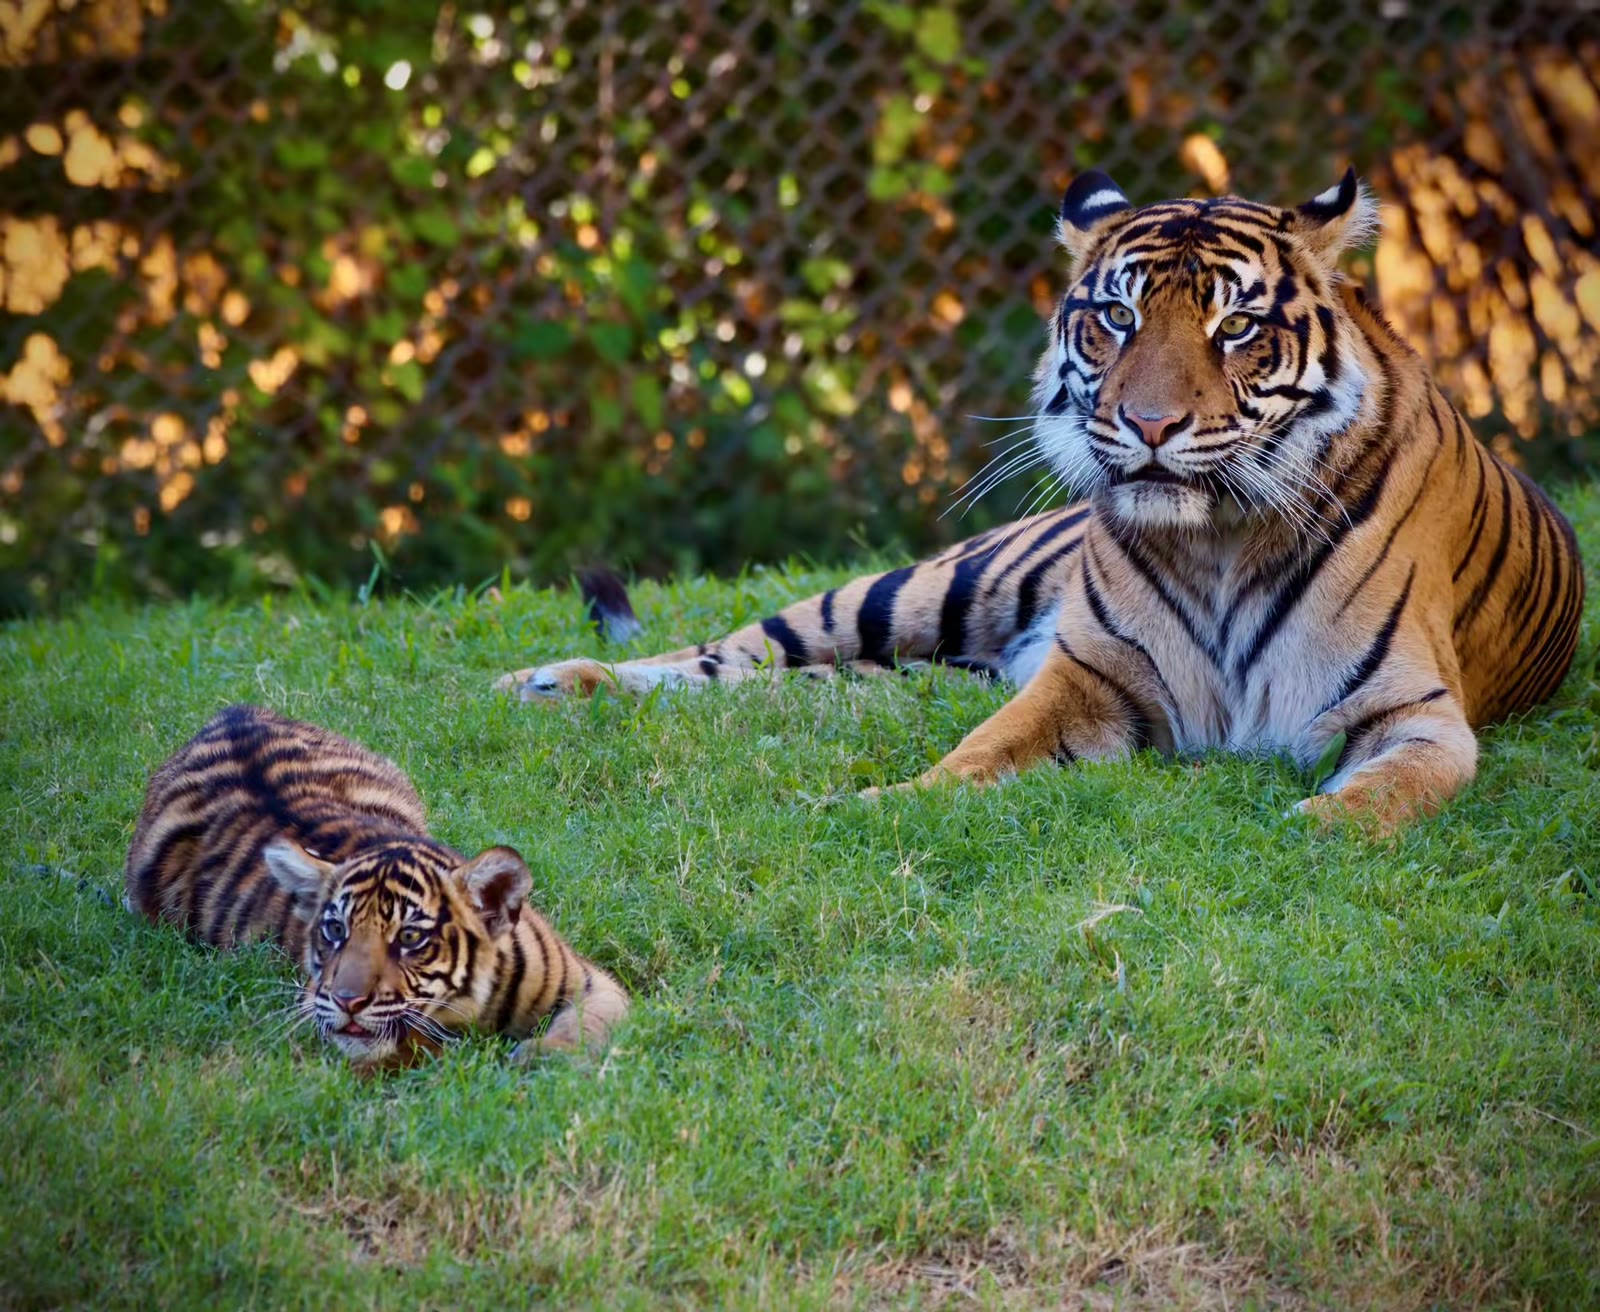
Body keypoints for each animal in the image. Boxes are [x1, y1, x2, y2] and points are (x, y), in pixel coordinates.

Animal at [125, 704, 628, 1069]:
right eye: (335, 931)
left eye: (409, 937)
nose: (347, 1002)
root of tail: (234, 712)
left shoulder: (594, 984)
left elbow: (583, 1026)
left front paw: (544, 1060)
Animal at [496, 169, 1585, 834]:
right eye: (1118, 316)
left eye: (1234, 326)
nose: (1150, 424)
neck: (1219, 543)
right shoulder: (1087, 679)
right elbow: (978, 756)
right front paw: (889, 802)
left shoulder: (1416, 713)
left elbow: (1381, 796)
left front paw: (1313, 830)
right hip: (908, 594)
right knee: (724, 654)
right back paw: (546, 681)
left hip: (905, 666)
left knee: (792, 684)